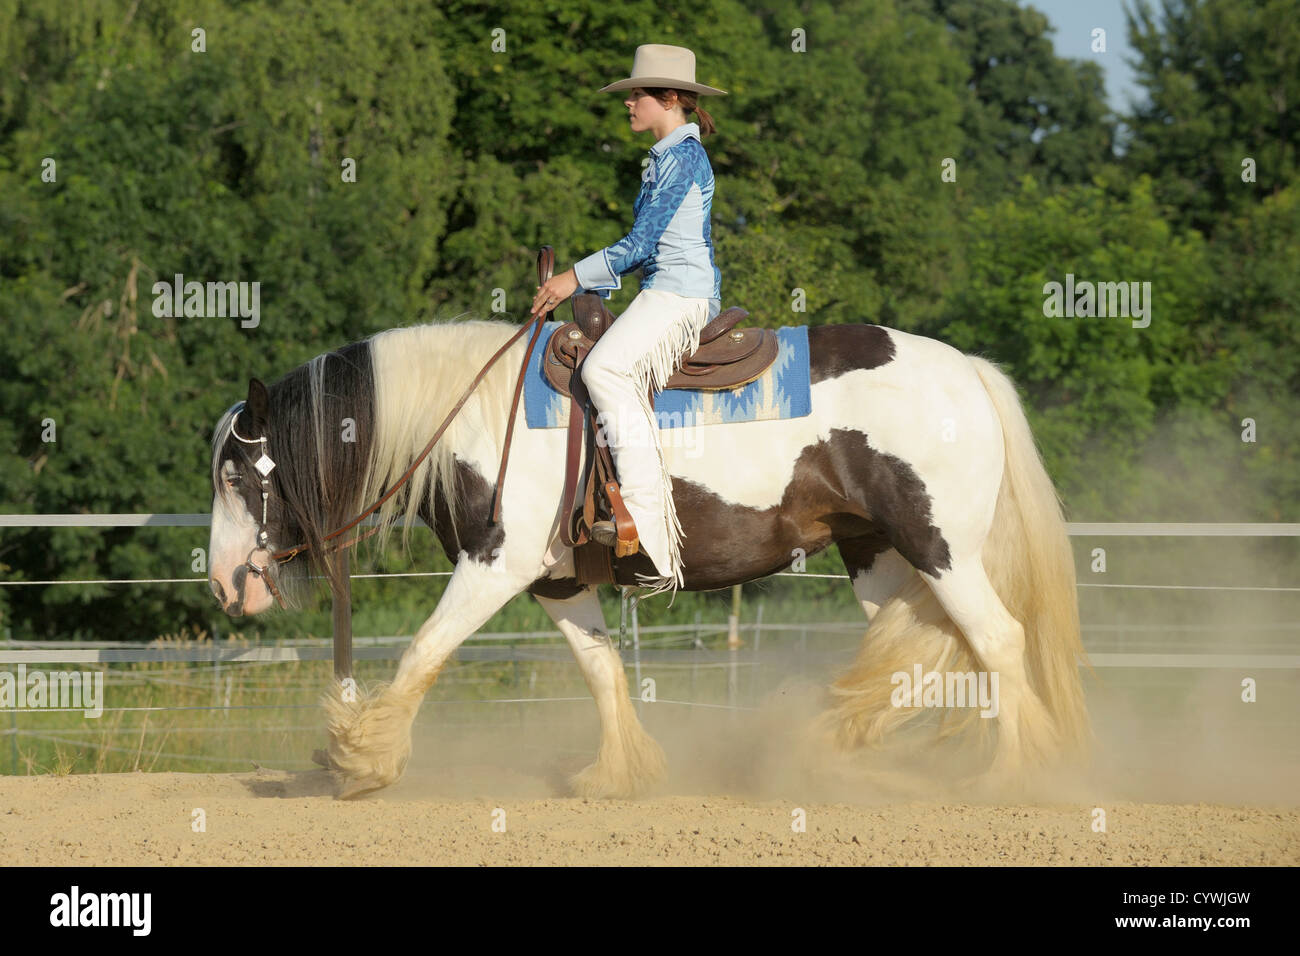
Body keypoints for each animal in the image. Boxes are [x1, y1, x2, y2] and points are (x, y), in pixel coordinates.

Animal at [207, 317, 1091, 798]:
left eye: (235, 473)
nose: (222, 583)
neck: (473, 417)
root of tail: (967, 370)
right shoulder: (557, 584)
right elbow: (603, 671)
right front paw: (618, 775)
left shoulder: (497, 565)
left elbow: (424, 651)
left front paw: (361, 759)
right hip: (879, 559)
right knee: (922, 653)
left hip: (942, 550)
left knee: (997, 642)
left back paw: (1010, 778)